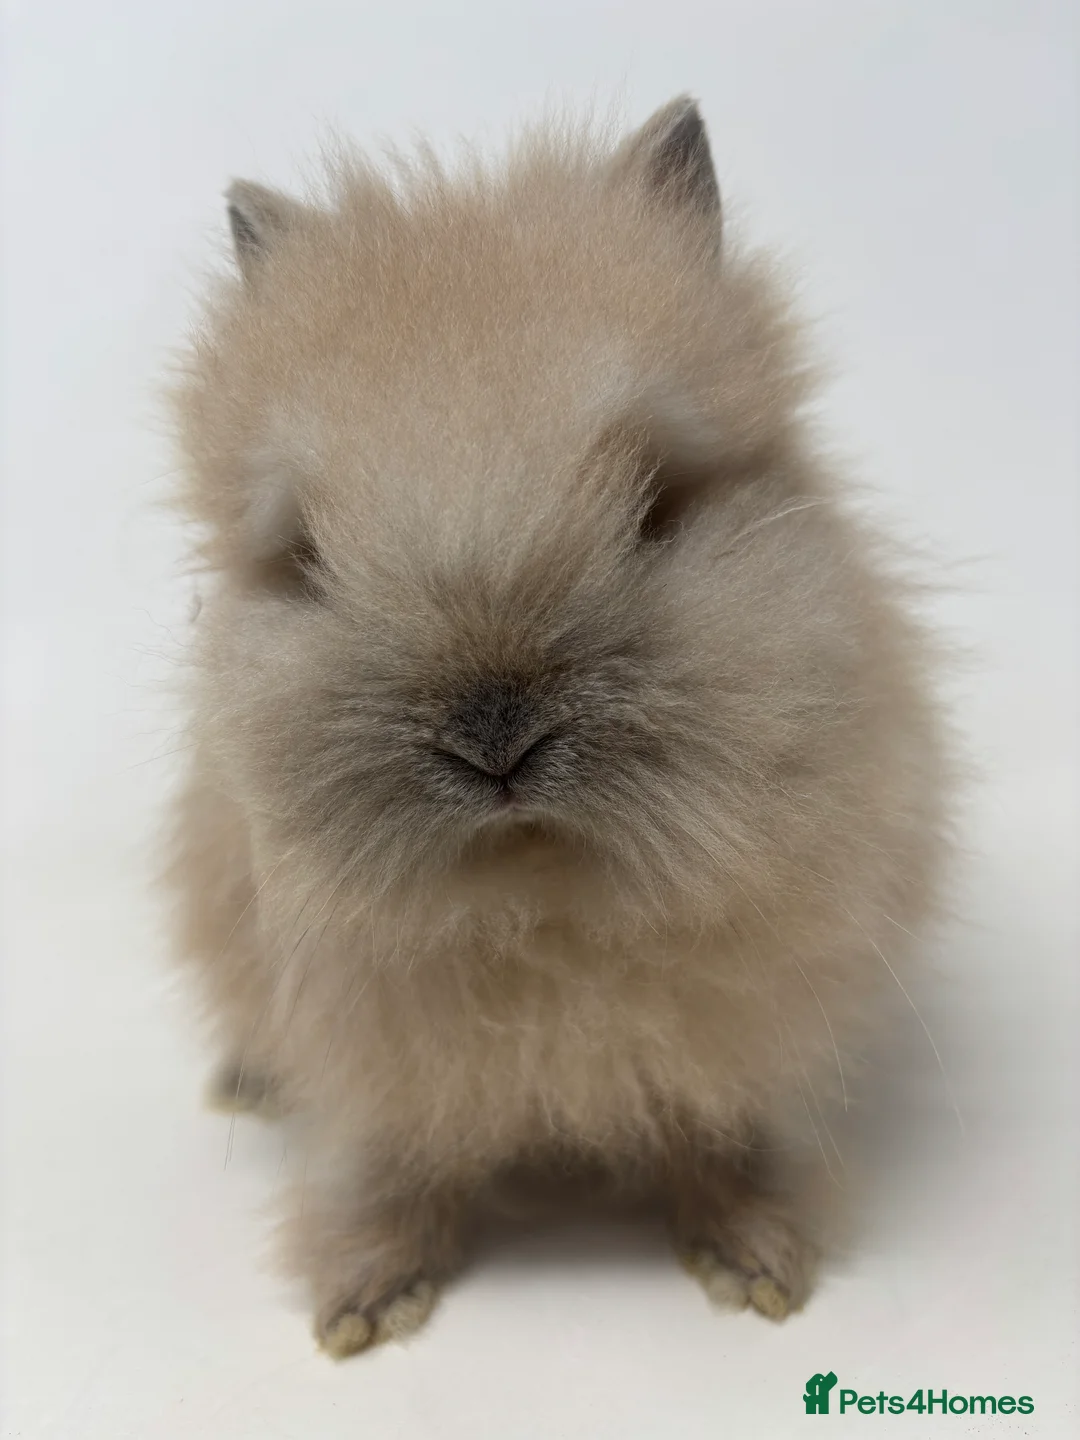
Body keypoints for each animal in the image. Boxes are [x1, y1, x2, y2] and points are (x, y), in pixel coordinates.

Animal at [165, 96, 951, 1358]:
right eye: (307, 557)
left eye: (659, 506)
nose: (493, 737)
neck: (538, 896)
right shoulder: (366, 1060)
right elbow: (386, 1166)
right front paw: (365, 1305)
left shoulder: (749, 1031)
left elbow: (729, 1132)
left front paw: (758, 1265)